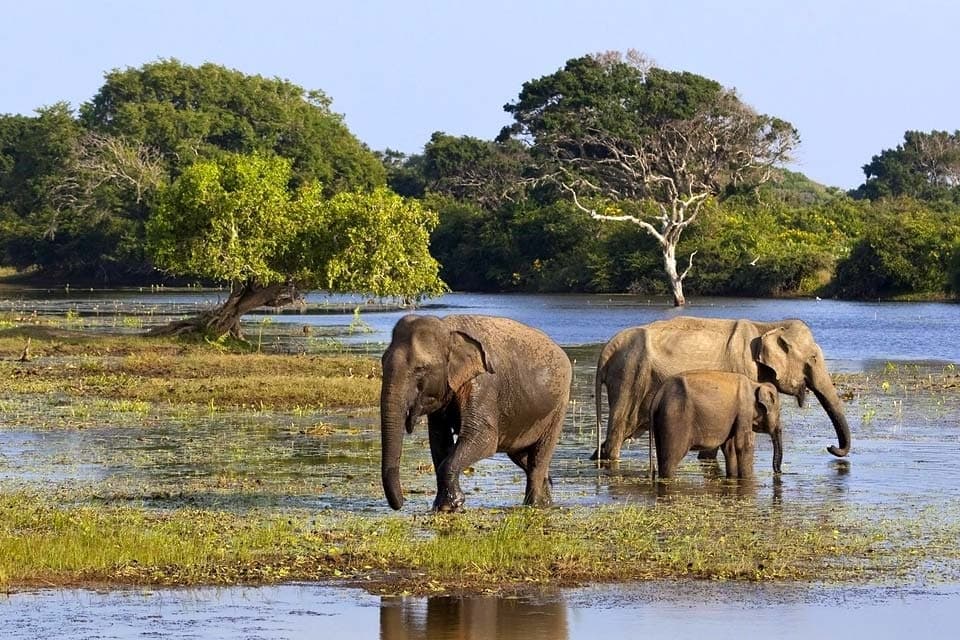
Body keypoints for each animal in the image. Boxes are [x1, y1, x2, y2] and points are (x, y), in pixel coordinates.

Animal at [380, 314, 572, 512]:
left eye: (420, 368)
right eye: (382, 362)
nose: (402, 503)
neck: (447, 328)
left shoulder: (484, 384)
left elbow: (484, 438)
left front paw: (452, 504)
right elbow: (439, 440)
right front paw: (443, 507)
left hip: (558, 408)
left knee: (538, 460)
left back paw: (533, 505)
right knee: (523, 458)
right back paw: (545, 501)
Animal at [593, 316, 850, 461]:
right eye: (813, 359)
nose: (830, 447)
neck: (767, 326)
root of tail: (606, 351)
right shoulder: (743, 371)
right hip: (630, 377)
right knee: (617, 434)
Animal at [650, 370, 782, 479]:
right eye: (779, 412)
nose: (778, 472)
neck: (756, 383)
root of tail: (658, 395)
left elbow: (729, 447)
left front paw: (733, 477)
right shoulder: (745, 409)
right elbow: (743, 445)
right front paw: (747, 478)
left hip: (660, 421)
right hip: (675, 419)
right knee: (671, 459)